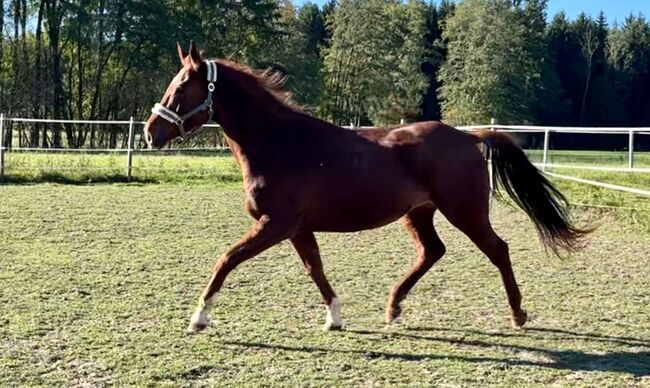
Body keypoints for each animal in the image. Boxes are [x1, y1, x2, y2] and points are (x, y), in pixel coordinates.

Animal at [144, 43, 584, 334]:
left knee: (499, 250)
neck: (280, 143)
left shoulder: (276, 224)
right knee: (432, 251)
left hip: (466, 212)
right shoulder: (297, 228)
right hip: (419, 213)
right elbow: (315, 269)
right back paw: (393, 307)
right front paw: (335, 318)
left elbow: (227, 259)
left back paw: (517, 314)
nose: (151, 132)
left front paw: (199, 317)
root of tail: (469, 136)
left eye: (180, 89)